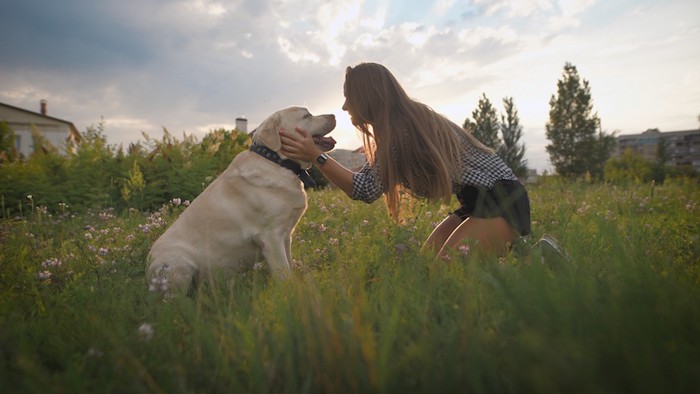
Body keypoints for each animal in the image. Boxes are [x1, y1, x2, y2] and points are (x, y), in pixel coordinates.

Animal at [147, 107, 336, 292]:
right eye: (307, 115)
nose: (334, 115)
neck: (276, 161)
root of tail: (148, 268)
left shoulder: (286, 235)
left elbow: (289, 266)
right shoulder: (271, 235)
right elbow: (283, 273)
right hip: (179, 264)